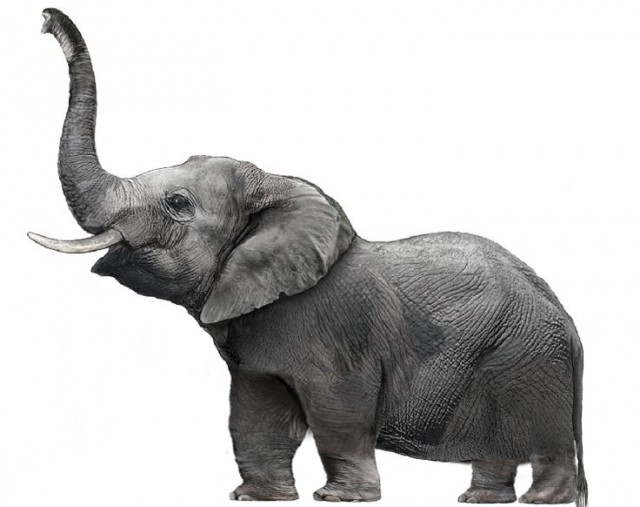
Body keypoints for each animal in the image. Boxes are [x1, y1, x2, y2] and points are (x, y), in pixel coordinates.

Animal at [30, 9, 587, 506]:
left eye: (178, 204)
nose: (42, 19)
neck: (276, 187)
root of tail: (566, 319)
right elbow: (253, 411)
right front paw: (254, 498)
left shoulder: (337, 330)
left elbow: (336, 408)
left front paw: (338, 498)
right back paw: (479, 499)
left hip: (527, 359)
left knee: (544, 437)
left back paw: (542, 501)